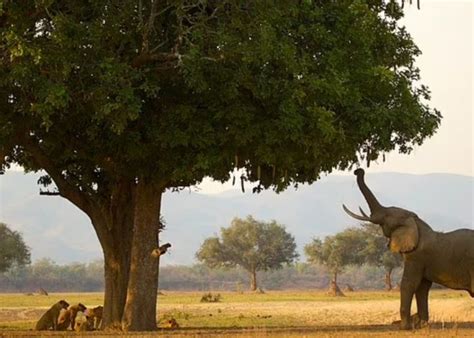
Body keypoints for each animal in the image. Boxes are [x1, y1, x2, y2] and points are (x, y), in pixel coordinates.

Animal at [342, 169, 472, 330]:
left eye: (387, 214)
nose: (358, 171)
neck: (416, 222)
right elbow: (422, 287)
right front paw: (421, 324)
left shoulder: (416, 257)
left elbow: (409, 283)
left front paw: (404, 327)